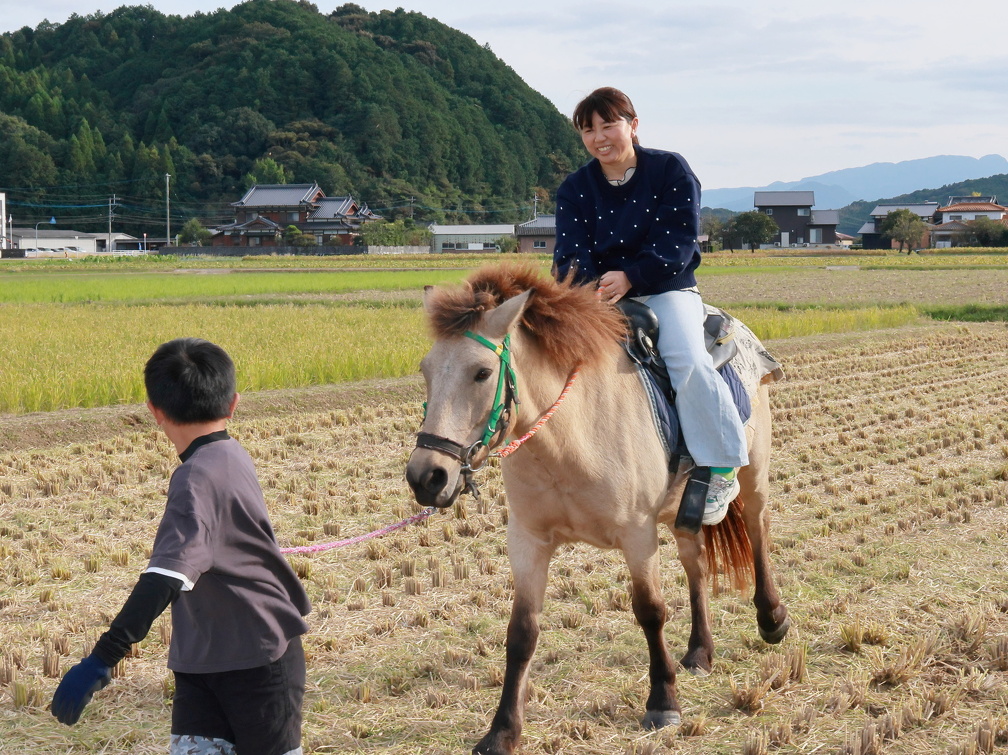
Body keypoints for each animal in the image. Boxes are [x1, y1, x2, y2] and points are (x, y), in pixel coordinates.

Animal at [405, 262, 790, 755]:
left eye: (482, 372)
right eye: (426, 370)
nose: (426, 476)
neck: (568, 438)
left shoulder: (637, 534)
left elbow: (650, 611)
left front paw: (663, 702)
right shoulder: (528, 540)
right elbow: (521, 631)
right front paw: (502, 730)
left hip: (754, 474)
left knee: (758, 530)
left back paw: (771, 618)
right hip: (684, 511)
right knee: (697, 565)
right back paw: (699, 651)